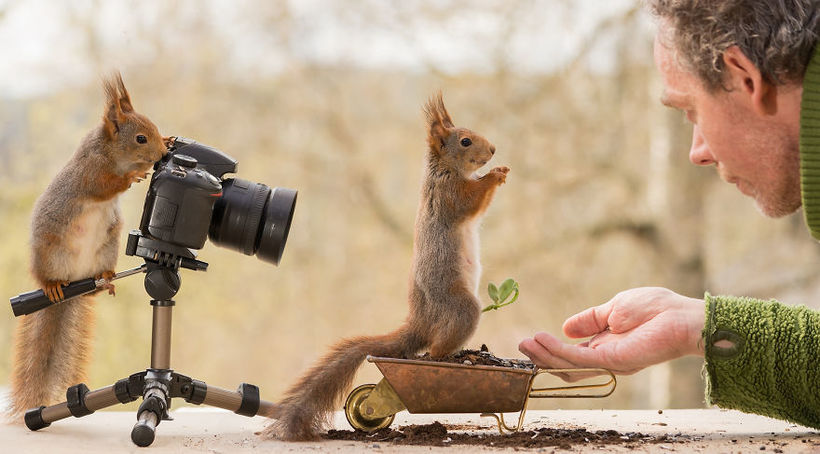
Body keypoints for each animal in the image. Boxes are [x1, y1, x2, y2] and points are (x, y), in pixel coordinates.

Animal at [8, 73, 170, 418]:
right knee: (48, 278)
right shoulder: (89, 173)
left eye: (154, 127)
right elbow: (105, 186)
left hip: (106, 249)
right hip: (49, 253)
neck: (109, 152)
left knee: (96, 282)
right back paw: (52, 286)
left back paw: (105, 279)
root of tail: (75, 279)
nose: (163, 153)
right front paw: (134, 176)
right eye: (140, 138)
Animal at [266, 91, 510, 440]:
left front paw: (500, 170)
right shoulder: (447, 194)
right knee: (436, 349)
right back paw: (457, 356)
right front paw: (493, 175)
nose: (492, 150)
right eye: (465, 141)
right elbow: (470, 202)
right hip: (460, 307)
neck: (444, 169)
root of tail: (419, 322)